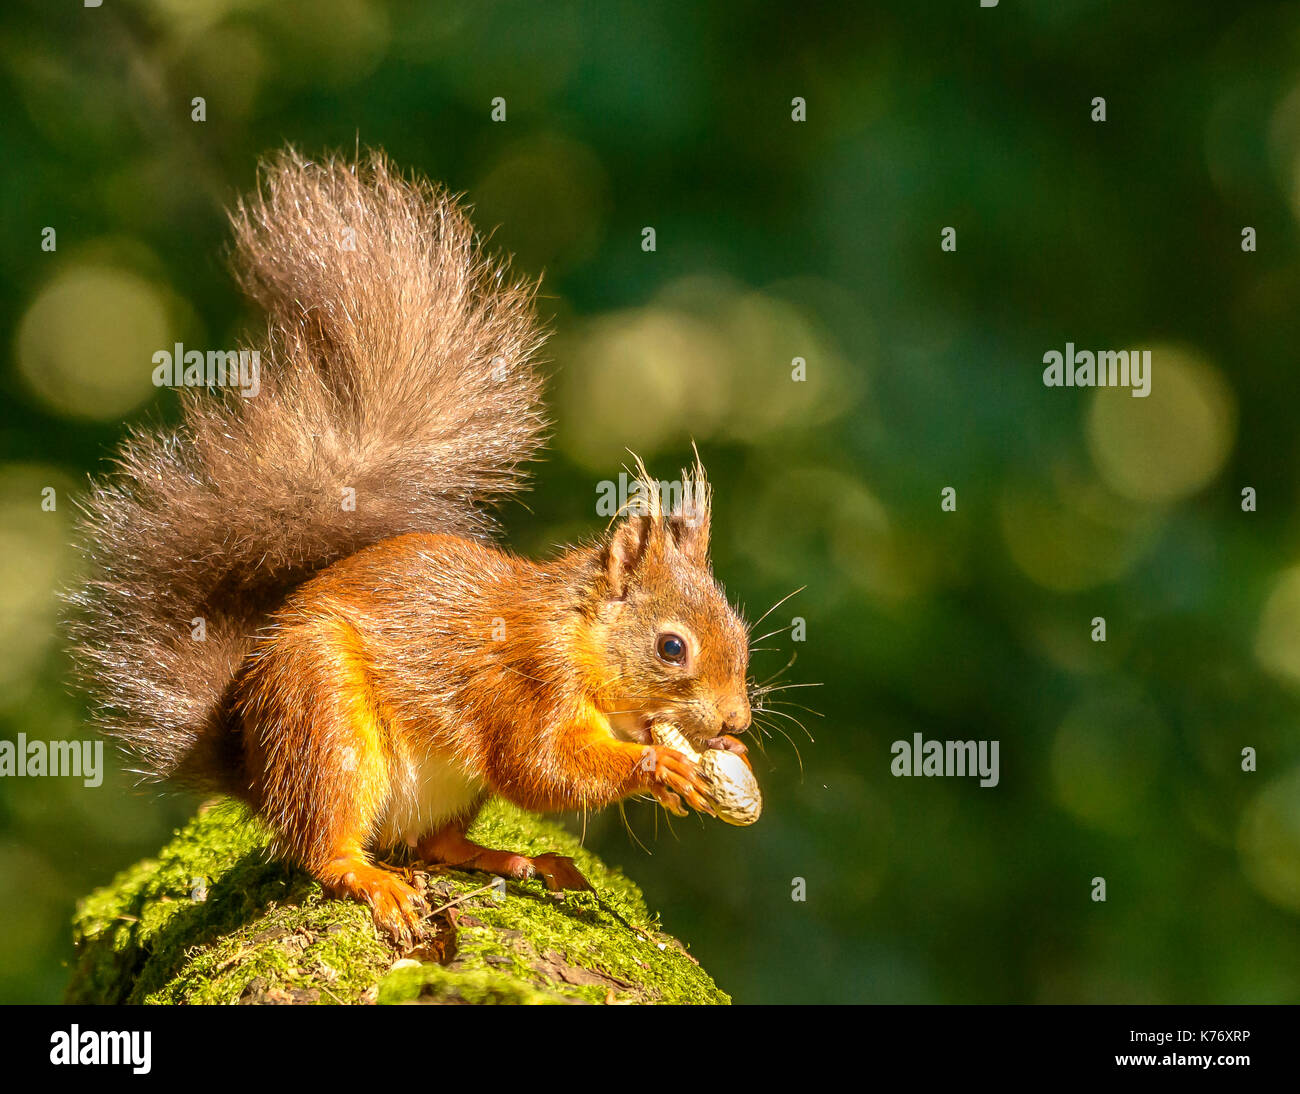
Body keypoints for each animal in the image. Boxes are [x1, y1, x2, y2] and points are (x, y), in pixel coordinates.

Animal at [68, 148, 754, 944]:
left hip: (445, 787)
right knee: (322, 846)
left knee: (436, 844)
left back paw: (518, 860)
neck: (575, 635)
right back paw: (370, 877)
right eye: (672, 648)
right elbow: (538, 767)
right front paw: (657, 767)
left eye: (740, 636)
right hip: (323, 718)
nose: (736, 722)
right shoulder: (523, 682)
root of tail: (253, 766)